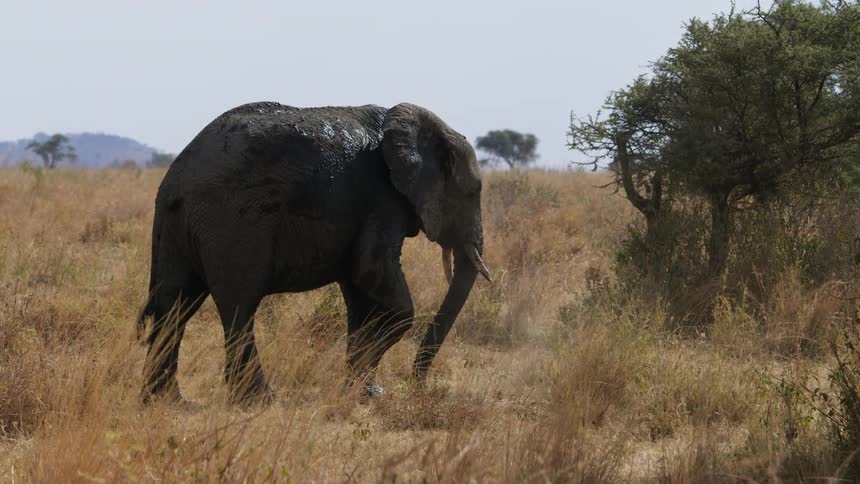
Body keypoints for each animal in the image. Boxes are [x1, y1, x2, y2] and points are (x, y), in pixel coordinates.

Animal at [136, 101, 491, 404]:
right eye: (473, 192)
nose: (418, 384)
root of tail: (176, 178)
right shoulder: (382, 198)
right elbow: (374, 275)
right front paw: (363, 389)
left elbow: (359, 294)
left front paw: (362, 392)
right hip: (231, 224)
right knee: (238, 306)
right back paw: (259, 400)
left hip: (175, 224)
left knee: (175, 304)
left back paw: (166, 401)